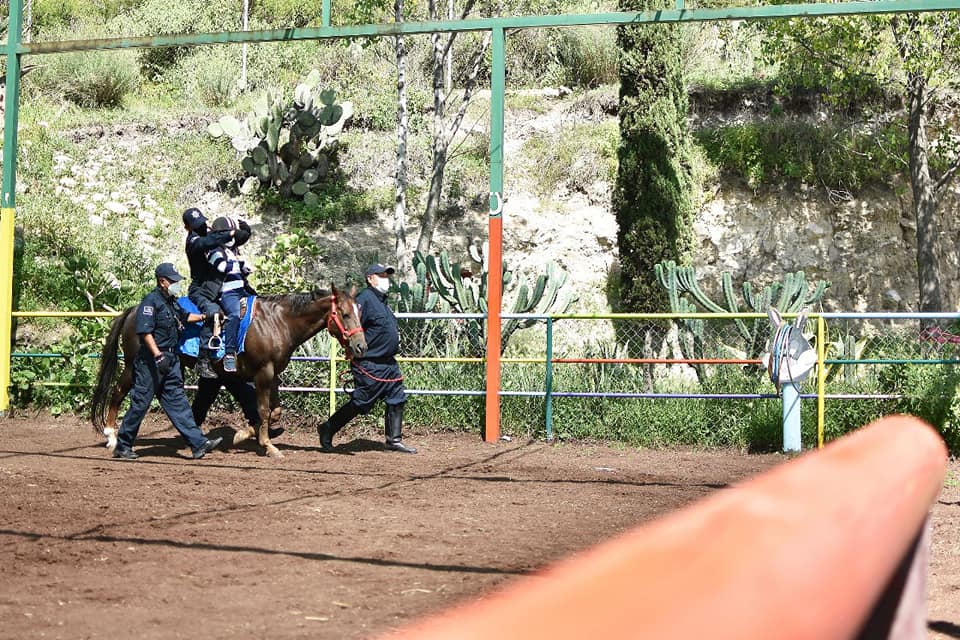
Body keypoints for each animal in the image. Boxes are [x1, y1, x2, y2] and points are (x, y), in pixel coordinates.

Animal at [90, 282, 368, 458]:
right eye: (344, 314)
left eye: (359, 312)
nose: (361, 346)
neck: (278, 322)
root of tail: (133, 311)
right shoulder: (263, 373)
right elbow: (264, 410)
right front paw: (267, 445)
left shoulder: (272, 375)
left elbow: (274, 411)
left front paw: (244, 434)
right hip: (135, 365)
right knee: (118, 393)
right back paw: (112, 436)